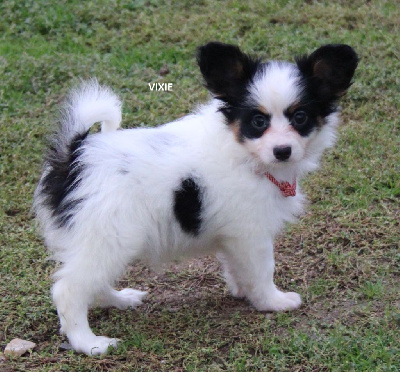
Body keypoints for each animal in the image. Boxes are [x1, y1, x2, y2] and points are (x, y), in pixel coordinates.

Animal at [34, 42, 358, 356]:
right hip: (108, 237)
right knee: (69, 290)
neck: (242, 152)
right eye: (258, 121)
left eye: (300, 117)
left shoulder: (233, 235)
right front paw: (272, 301)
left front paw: (243, 292)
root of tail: (75, 156)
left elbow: (237, 267)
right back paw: (89, 343)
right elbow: (262, 269)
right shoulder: (251, 233)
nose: (282, 151)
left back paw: (120, 300)